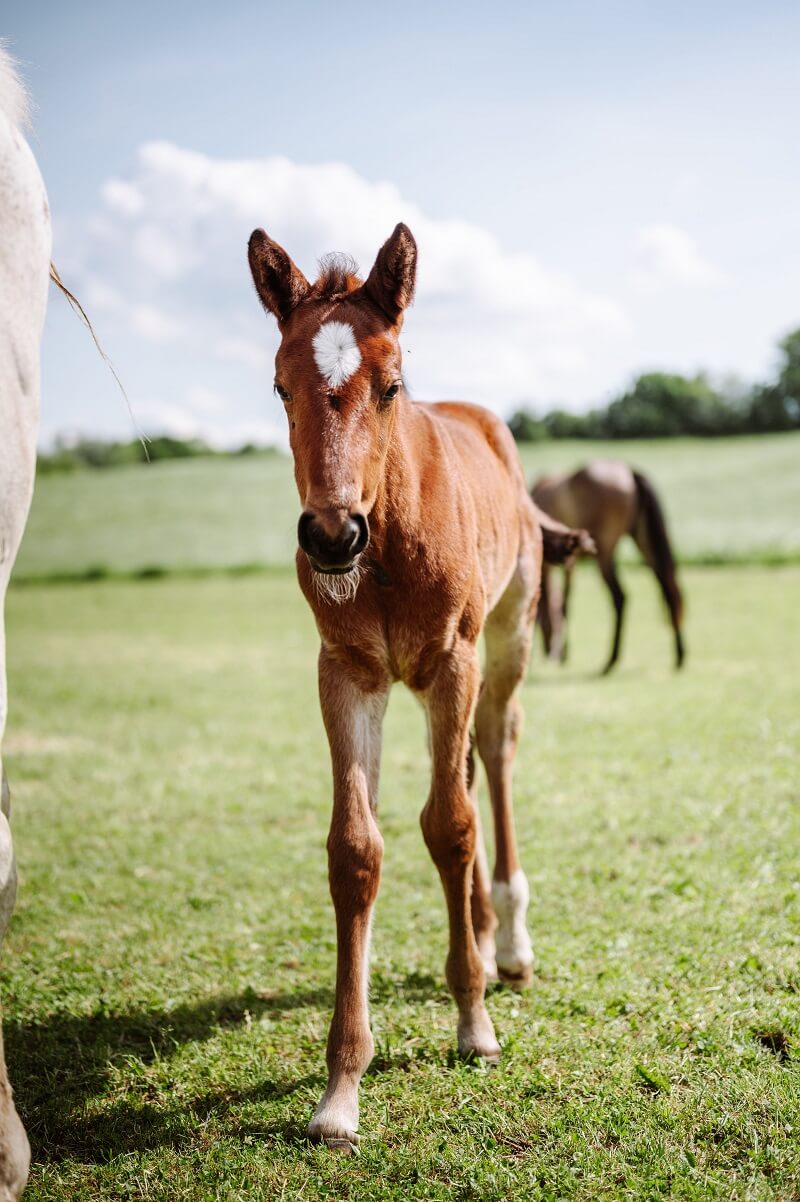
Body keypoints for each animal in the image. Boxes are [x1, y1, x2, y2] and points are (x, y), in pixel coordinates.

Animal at [246, 221, 588, 1149]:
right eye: (280, 387)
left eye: (392, 386)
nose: (332, 536)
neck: (388, 540)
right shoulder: (346, 672)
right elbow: (357, 849)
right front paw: (340, 1090)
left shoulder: (452, 660)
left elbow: (452, 825)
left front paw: (474, 1023)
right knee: (464, 766)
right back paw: (482, 928)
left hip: (505, 643)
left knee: (493, 759)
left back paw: (507, 940)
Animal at [533, 456, 682, 673]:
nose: (549, 652)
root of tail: (629, 471)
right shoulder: (570, 563)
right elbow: (567, 601)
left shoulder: (555, 564)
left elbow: (563, 601)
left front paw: (564, 655)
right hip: (643, 538)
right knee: (667, 587)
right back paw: (679, 656)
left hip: (605, 551)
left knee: (619, 596)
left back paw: (610, 661)